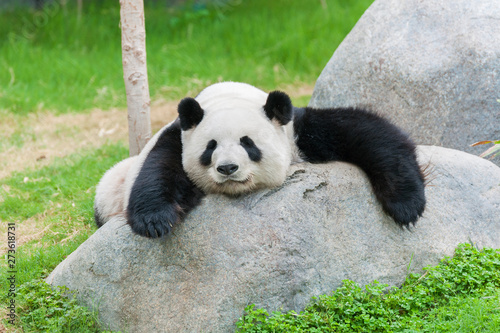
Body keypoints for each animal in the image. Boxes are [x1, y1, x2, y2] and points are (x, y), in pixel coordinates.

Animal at [94, 81, 426, 237]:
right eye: (210, 147)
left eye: (248, 143)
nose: (228, 168)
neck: (228, 95)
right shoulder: (177, 136)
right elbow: (158, 169)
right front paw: (155, 220)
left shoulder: (297, 131)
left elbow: (367, 133)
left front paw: (406, 205)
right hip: (110, 190)